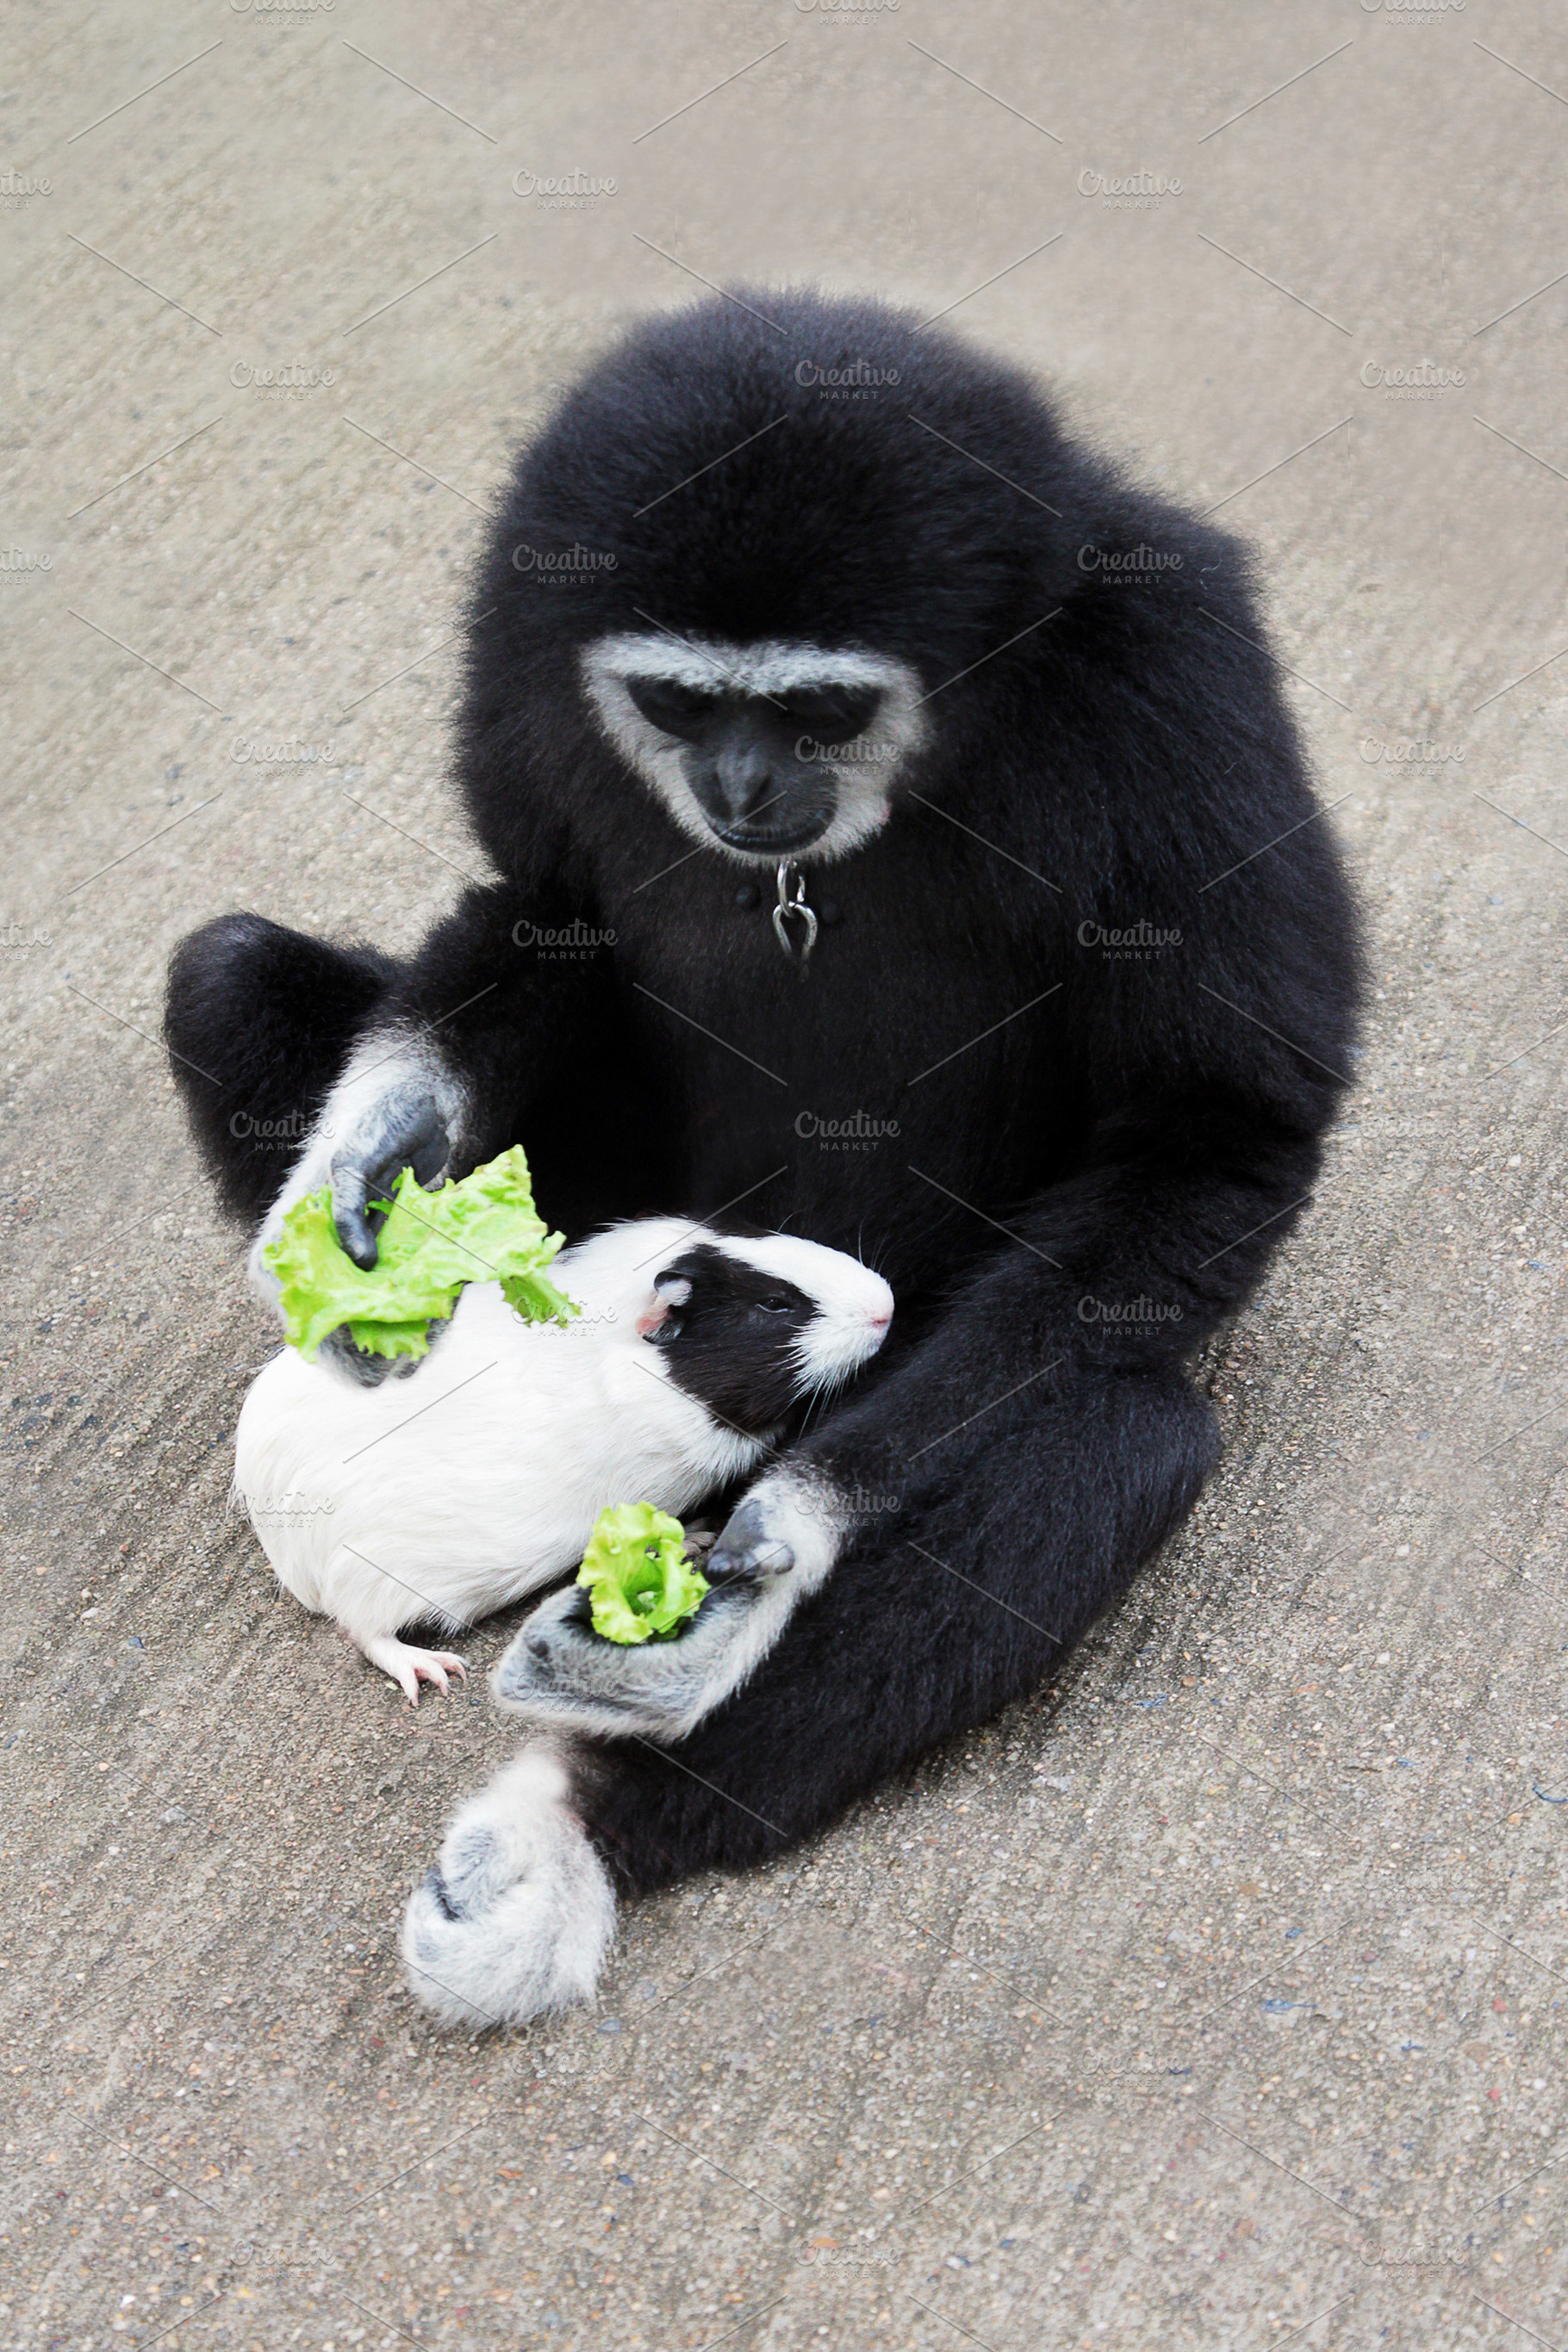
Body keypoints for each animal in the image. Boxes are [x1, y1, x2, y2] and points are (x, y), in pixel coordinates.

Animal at [164, 285, 1361, 2025]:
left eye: (815, 708)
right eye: (681, 701)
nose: (737, 782)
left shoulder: (1173, 675)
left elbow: (1221, 1126)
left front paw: (782, 1545)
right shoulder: (522, 634)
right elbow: (545, 905)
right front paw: (379, 1141)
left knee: (1125, 1423)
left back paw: (580, 1830)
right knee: (225, 968)